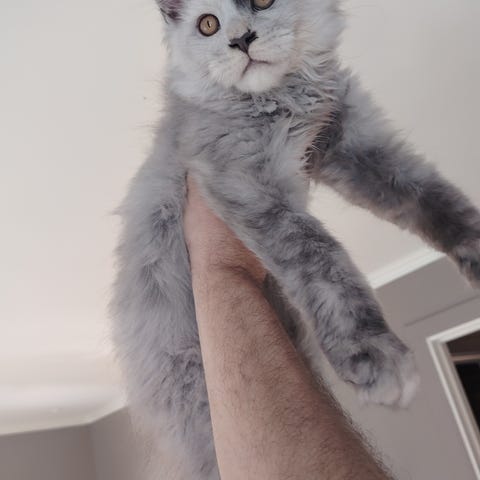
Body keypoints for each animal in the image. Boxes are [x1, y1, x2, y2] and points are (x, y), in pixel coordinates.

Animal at [111, 0, 480, 478]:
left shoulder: (351, 143)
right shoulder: (243, 180)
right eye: (208, 24)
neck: (285, 99)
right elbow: (320, 256)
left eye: (262, 3)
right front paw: (373, 353)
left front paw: (475, 250)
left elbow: (429, 197)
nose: (240, 39)